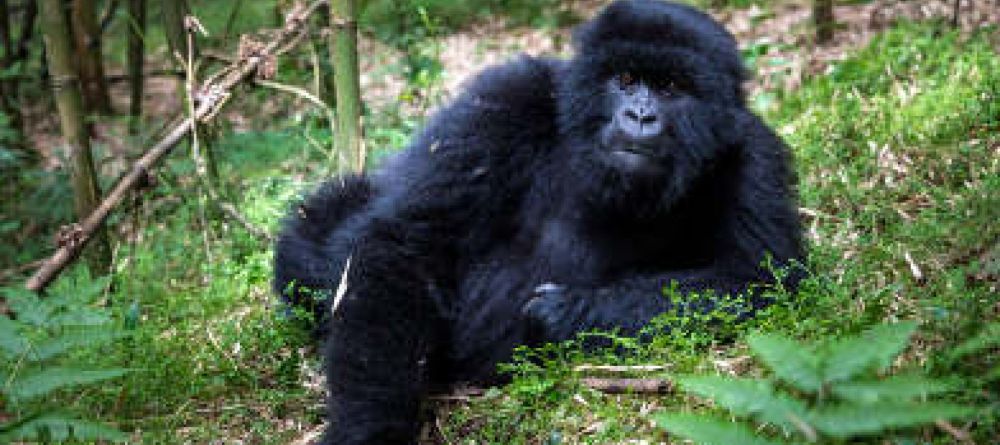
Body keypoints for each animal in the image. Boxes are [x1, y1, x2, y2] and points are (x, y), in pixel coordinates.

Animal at [274, 1, 804, 442]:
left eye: (672, 87)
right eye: (625, 79)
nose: (639, 115)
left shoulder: (753, 154)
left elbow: (758, 281)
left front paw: (568, 312)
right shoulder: (505, 100)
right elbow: (407, 245)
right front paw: (369, 426)